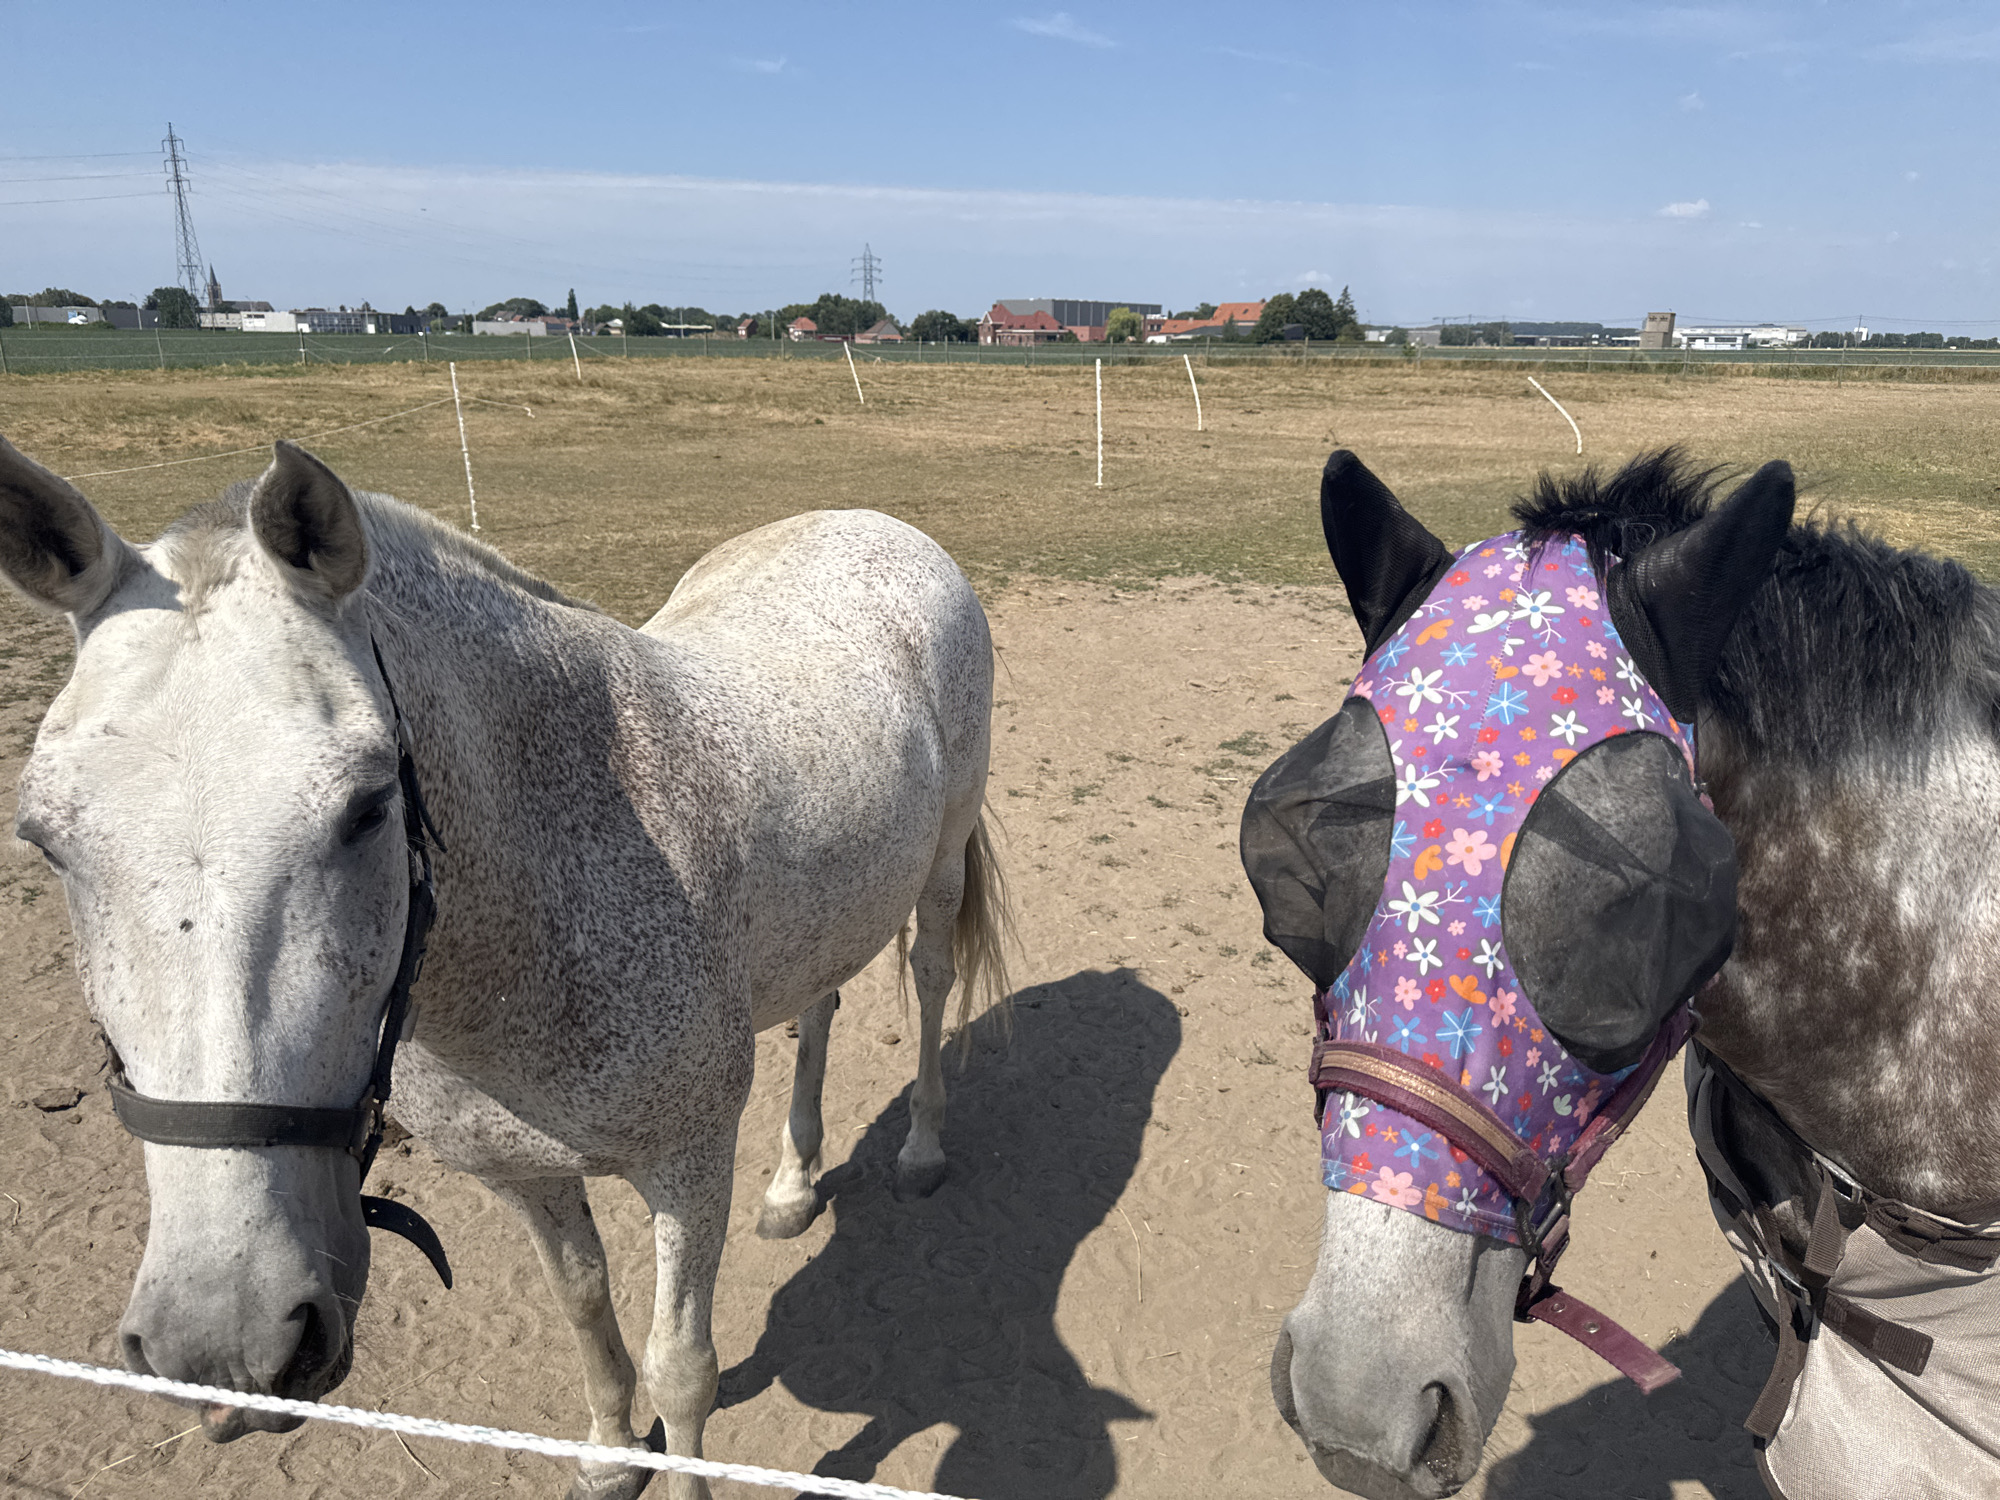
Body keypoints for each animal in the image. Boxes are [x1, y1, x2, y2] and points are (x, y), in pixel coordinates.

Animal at [0, 435, 1011, 1500]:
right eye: (45, 841)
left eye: (366, 807)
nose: (221, 1341)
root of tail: (876, 525)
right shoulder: (524, 1177)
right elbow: (585, 1309)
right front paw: (609, 1455)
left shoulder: (690, 1168)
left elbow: (683, 1370)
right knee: (819, 1007)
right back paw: (793, 1187)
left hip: (941, 870)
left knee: (932, 983)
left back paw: (921, 1151)